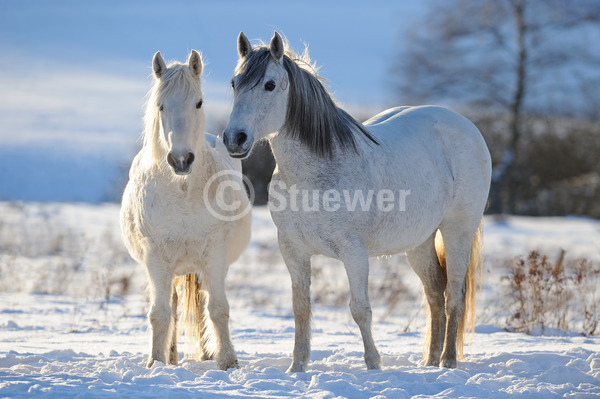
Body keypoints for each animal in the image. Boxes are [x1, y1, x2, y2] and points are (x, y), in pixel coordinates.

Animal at [120, 50, 252, 372]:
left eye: (199, 102)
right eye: (161, 105)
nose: (181, 159)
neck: (182, 191)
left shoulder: (214, 255)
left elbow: (218, 309)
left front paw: (228, 362)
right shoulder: (156, 258)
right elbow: (160, 314)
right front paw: (155, 362)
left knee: (203, 303)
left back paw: (206, 355)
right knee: (173, 305)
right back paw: (170, 357)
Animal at [223, 32, 490, 374]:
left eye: (269, 84)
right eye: (234, 82)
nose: (235, 139)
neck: (313, 175)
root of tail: (467, 126)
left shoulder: (354, 252)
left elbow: (360, 308)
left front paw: (373, 364)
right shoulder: (293, 250)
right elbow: (301, 308)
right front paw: (297, 367)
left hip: (458, 232)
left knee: (454, 294)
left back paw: (447, 362)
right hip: (419, 242)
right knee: (434, 292)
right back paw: (429, 362)